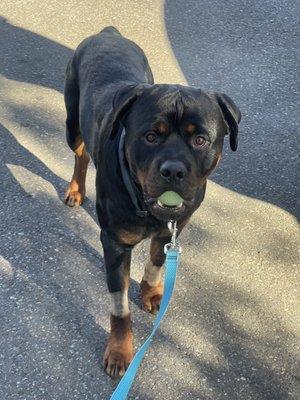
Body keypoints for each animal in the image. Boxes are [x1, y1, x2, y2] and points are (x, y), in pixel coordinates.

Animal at [63, 25, 241, 378]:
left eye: (200, 139)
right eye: (150, 136)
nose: (172, 170)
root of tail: (107, 32)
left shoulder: (173, 229)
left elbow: (157, 263)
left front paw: (152, 292)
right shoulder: (115, 244)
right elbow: (119, 309)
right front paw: (120, 351)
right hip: (71, 123)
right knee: (81, 153)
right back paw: (76, 189)